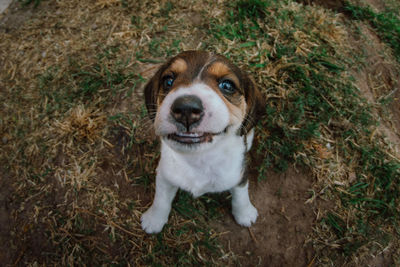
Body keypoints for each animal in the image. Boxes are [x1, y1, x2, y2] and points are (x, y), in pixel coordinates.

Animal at [141, 50, 266, 234]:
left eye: (227, 85)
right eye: (168, 81)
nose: (186, 108)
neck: (199, 158)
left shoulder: (240, 174)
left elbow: (241, 195)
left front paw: (245, 214)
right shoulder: (164, 174)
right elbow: (161, 198)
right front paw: (154, 219)